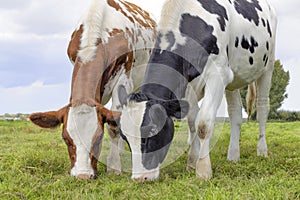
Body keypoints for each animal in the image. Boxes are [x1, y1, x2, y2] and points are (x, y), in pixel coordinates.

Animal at [29, 0, 157, 179]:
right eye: (66, 139)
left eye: (98, 139)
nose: (82, 175)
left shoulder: (124, 76)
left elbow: (113, 126)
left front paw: (114, 166)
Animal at [117, 0, 276, 181]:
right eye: (125, 137)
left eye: (152, 131)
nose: (139, 178)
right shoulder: (188, 83)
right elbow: (192, 121)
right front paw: (192, 162)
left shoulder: (217, 74)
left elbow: (203, 124)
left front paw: (203, 169)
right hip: (233, 76)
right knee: (235, 112)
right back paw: (233, 156)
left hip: (268, 65)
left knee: (262, 108)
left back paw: (262, 150)